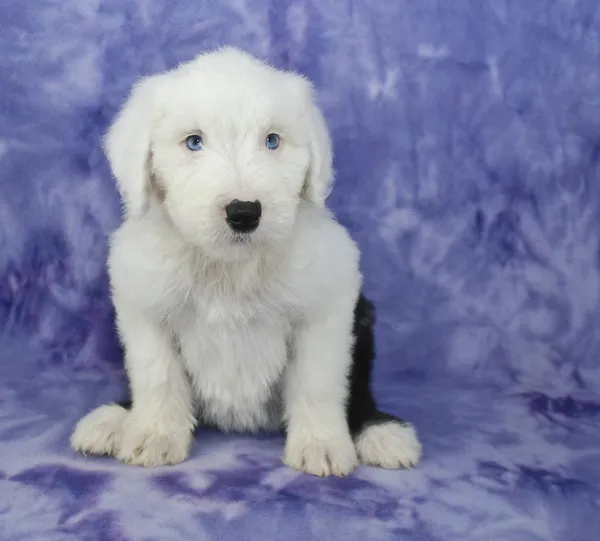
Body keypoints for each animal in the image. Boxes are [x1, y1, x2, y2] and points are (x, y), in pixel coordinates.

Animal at [71, 47, 422, 476]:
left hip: (364, 320)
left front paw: (320, 444)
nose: (244, 212)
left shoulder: (326, 307)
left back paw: (381, 432)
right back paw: (112, 420)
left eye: (272, 141)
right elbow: (157, 375)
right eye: (194, 142)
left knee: (358, 394)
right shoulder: (145, 308)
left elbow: (318, 381)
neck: (230, 266)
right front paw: (154, 435)